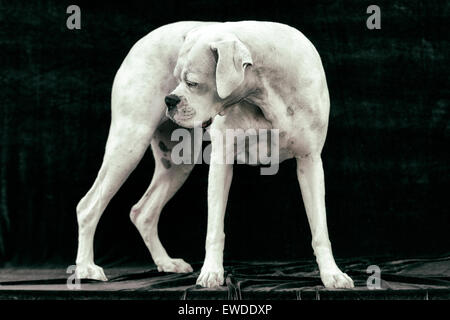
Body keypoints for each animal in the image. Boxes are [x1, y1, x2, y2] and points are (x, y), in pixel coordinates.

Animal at [74, 21, 356, 288]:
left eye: (192, 83)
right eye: (176, 77)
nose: (169, 99)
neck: (265, 93)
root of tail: (141, 41)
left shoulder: (310, 163)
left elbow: (320, 229)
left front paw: (332, 274)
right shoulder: (222, 162)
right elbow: (214, 230)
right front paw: (211, 273)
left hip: (177, 162)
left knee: (143, 212)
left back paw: (166, 262)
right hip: (128, 144)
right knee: (89, 206)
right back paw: (86, 268)